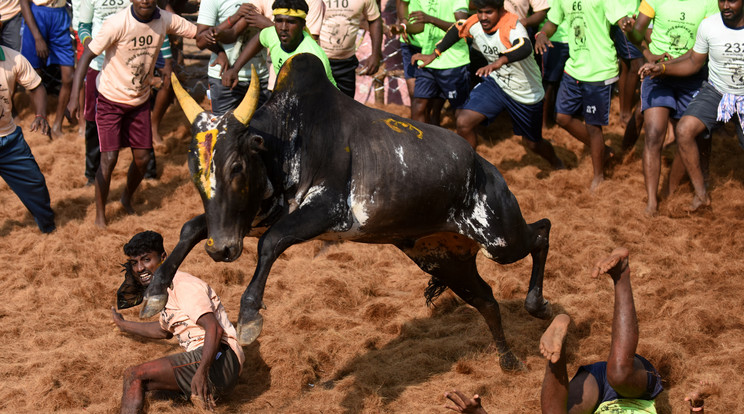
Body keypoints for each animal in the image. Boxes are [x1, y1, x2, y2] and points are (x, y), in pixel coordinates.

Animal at [142, 52, 552, 372]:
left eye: (237, 166)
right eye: (194, 170)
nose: (221, 250)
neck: (288, 138)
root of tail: (486, 167)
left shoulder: (327, 212)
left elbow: (271, 243)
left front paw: (249, 316)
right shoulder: (255, 217)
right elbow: (191, 228)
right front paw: (154, 294)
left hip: (500, 238)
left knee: (542, 232)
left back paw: (538, 307)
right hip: (444, 258)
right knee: (487, 299)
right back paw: (509, 360)